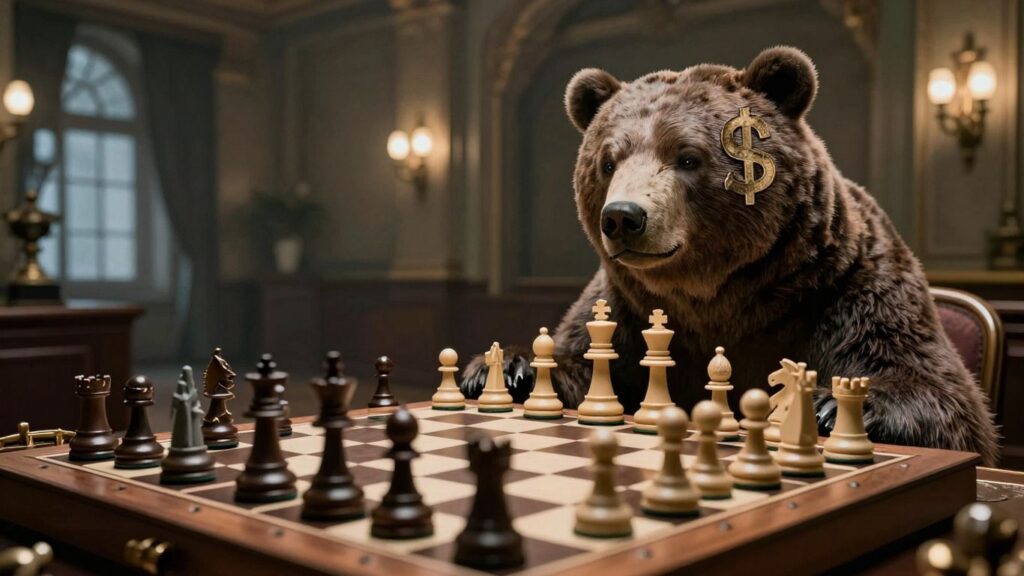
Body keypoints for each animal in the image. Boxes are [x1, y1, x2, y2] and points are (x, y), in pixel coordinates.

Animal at [461, 46, 999, 465]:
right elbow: (576, 359)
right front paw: (504, 368)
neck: (718, 296)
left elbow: (941, 392)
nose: (622, 217)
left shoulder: (846, 287)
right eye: (608, 161)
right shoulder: (625, 305)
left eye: (686, 156)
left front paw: (832, 404)